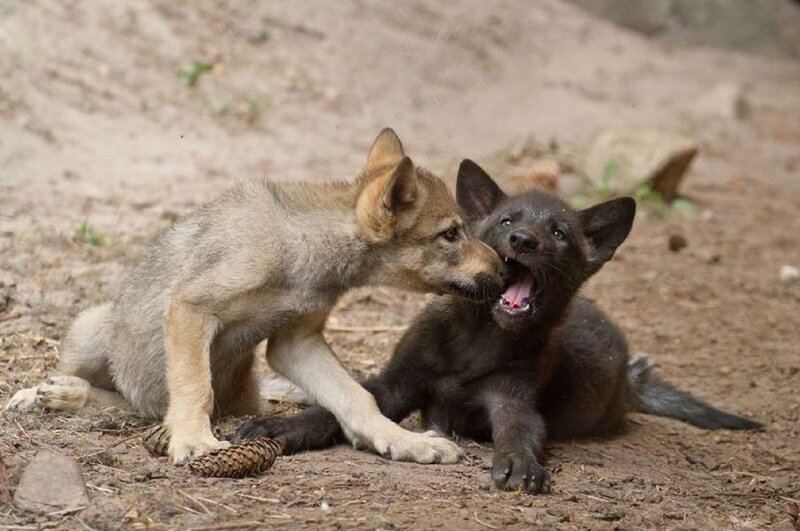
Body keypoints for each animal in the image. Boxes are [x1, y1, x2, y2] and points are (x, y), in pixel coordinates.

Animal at [5, 130, 505, 465]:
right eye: (451, 234)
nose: (503, 269)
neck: (302, 250)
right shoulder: (191, 309)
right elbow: (195, 387)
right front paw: (195, 442)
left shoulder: (294, 344)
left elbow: (358, 399)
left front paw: (406, 442)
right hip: (91, 329)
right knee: (116, 391)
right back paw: (45, 393)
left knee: (139, 406)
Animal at [235, 159, 762, 493]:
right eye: (507, 221)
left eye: (559, 233)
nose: (524, 240)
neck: (472, 343)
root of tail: (632, 379)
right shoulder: (396, 386)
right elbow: (341, 407)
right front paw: (276, 427)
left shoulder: (512, 401)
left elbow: (519, 433)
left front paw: (519, 466)